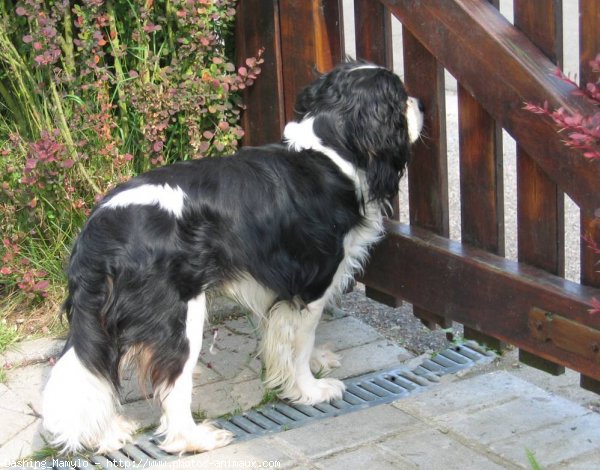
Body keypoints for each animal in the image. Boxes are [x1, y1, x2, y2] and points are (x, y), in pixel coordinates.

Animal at [42, 60, 424, 454]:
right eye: (400, 97)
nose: (420, 103)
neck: (327, 154)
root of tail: (100, 227)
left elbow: (285, 339)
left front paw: (311, 365)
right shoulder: (311, 285)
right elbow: (299, 344)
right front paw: (310, 389)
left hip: (104, 317)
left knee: (93, 367)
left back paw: (106, 434)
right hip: (179, 315)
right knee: (171, 385)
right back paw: (194, 438)